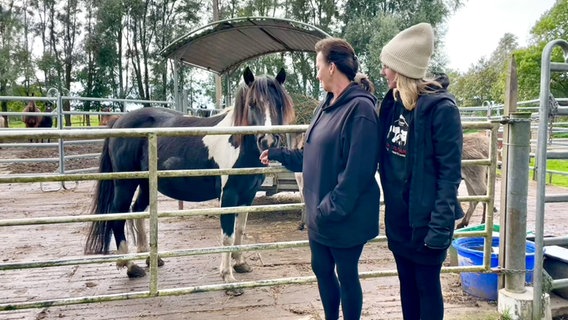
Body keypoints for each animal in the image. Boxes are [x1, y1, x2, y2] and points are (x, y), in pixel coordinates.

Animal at [85, 67, 298, 296]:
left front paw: (240, 263)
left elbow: (240, 230)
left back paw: (152, 260)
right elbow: (227, 235)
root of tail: (119, 121)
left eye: (279, 104)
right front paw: (228, 279)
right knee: (118, 215)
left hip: (146, 183)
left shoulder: (248, 194)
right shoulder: (228, 195)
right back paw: (131, 267)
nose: (268, 141)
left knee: (137, 211)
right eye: (252, 103)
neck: (237, 143)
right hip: (125, 183)